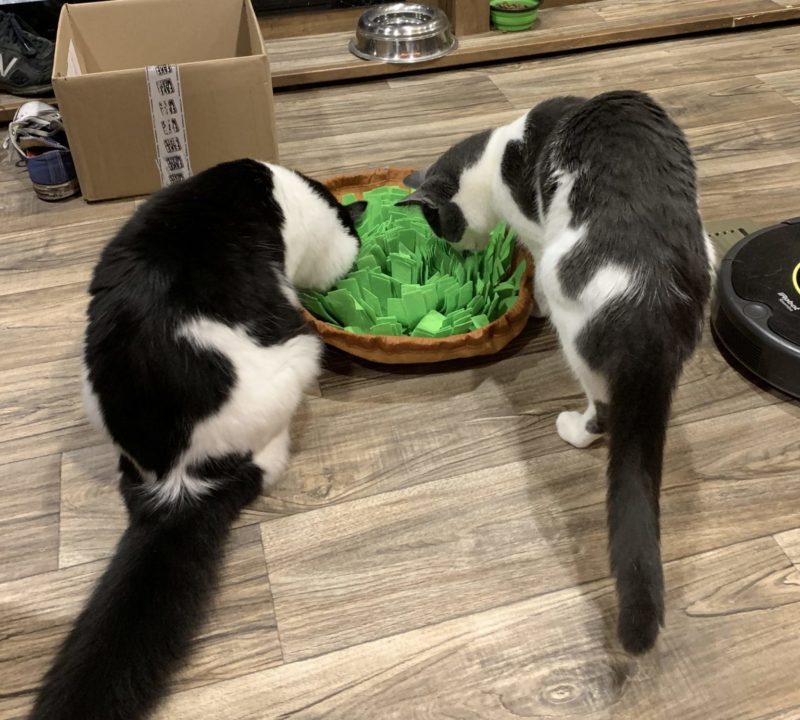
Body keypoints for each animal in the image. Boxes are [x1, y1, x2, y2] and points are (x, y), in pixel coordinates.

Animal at [396, 90, 716, 652]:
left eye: (441, 226)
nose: (456, 249)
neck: (494, 157)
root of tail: (652, 300)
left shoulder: (534, 230)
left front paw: (532, 306)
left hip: (568, 298)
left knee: (603, 409)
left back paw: (572, 427)